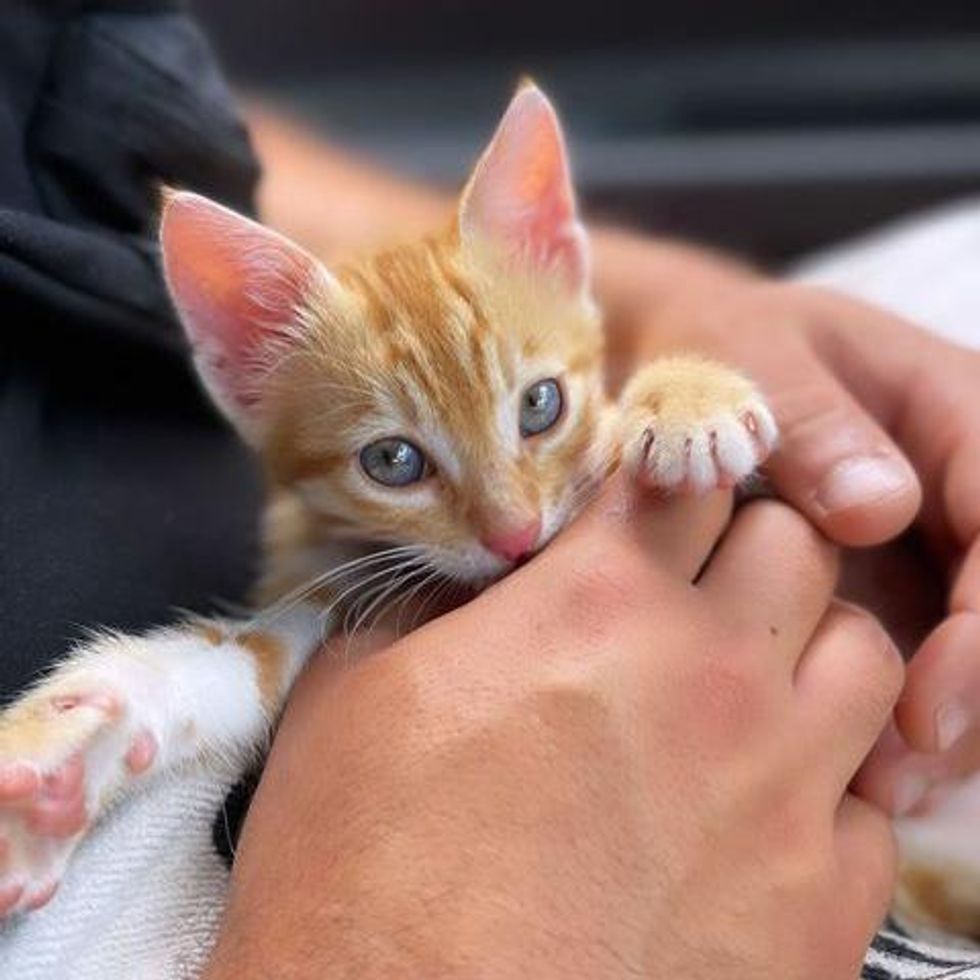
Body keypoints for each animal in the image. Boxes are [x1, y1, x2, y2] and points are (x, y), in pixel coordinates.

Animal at [0, 86, 772, 920]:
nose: (516, 537)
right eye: (393, 462)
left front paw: (688, 401)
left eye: (541, 405)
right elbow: (232, 664)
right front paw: (59, 770)